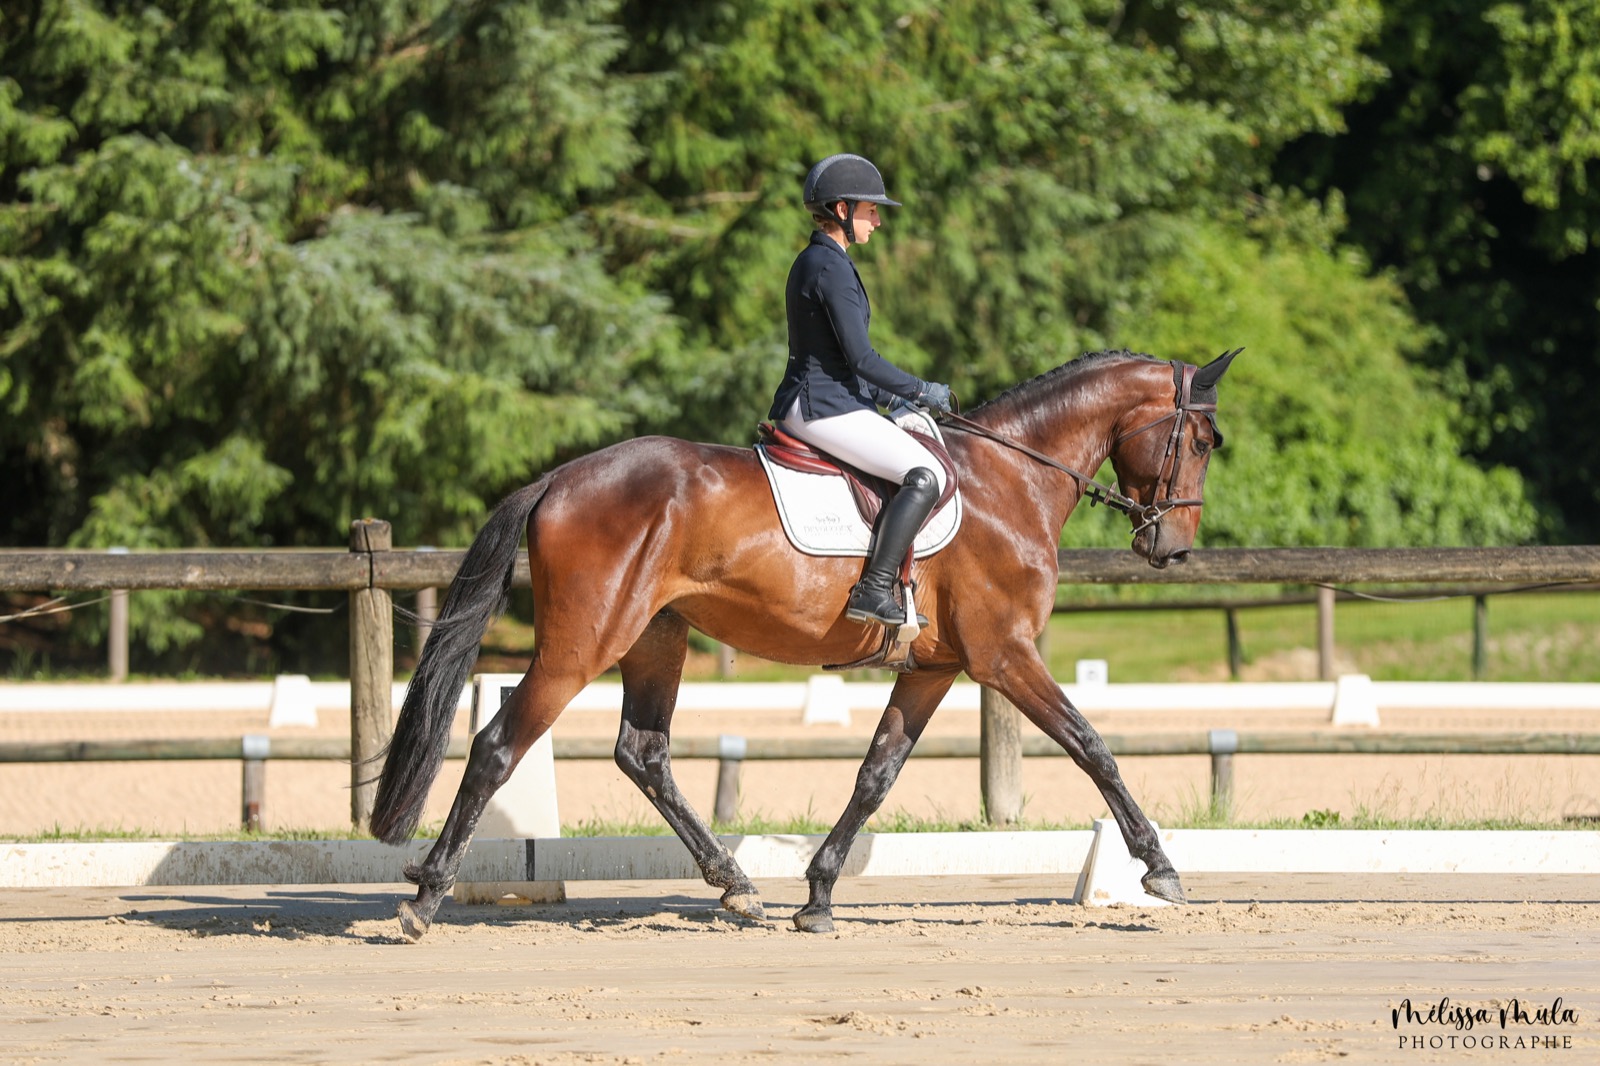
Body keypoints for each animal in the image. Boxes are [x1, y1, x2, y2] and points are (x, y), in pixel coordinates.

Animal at [370, 346, 1241, 941]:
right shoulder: (1005, 655)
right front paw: (1160, 868)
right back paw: (425, 897)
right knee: (498, 744)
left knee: (642, 753)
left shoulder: (935, 668)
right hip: (583, 642)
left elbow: (875, 775)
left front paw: (818, 894)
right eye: (1202, 440)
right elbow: (1093, 746)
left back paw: (736, 884)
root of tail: (558, 477)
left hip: (656, 637)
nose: (1174, 550)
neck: (1009, 478)